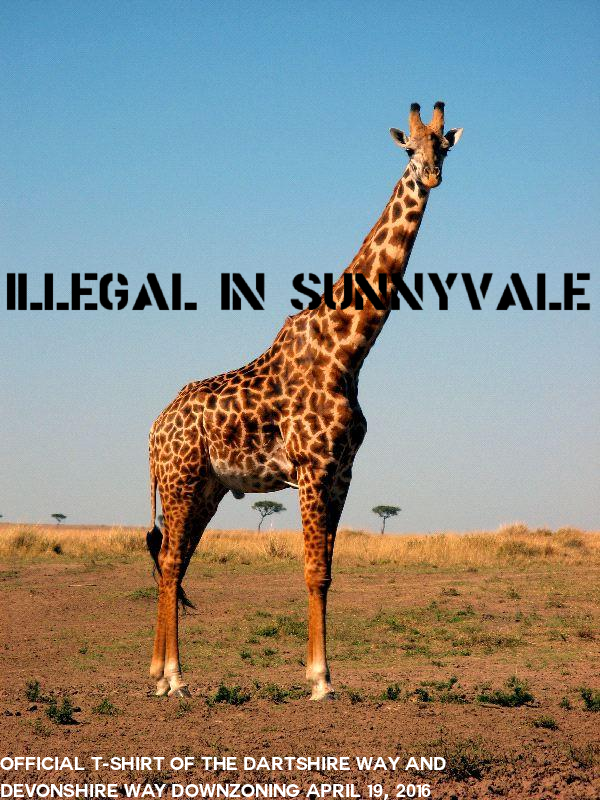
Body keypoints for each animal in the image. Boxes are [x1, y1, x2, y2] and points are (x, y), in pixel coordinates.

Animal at [147, 102, 463, 700]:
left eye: (444, 146)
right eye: (409, 149)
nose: (431, 175)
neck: (349, 350)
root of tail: (152, 432)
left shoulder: (342, 471)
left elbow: (329, 572)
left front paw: (322, 674)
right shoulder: (313, 468)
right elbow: (313, 572)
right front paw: (320, 681)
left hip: (207, 489)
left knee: (175, 561)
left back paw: (156, 672)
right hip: (179, 481)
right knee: (172, 559)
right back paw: (173, 678)